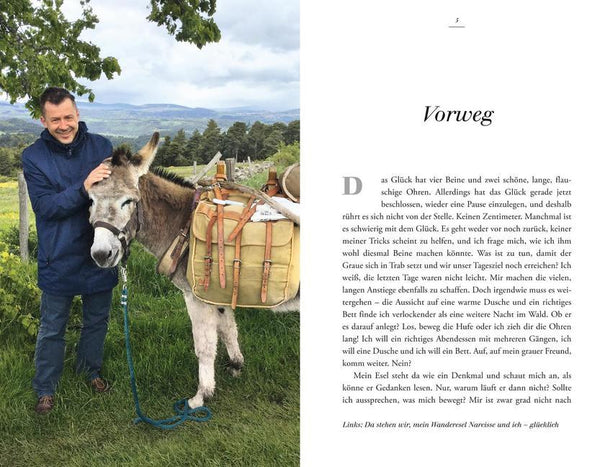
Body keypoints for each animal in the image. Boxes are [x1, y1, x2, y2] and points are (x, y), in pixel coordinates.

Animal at [87, 132, 299, 408]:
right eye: (90, 200)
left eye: (128, 201)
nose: (101, 255)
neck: (184, 225)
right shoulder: (218, 294)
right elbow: (227, 328)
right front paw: (236, 365)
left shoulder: (196, 297)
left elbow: (204, 346)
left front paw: (201, 396)